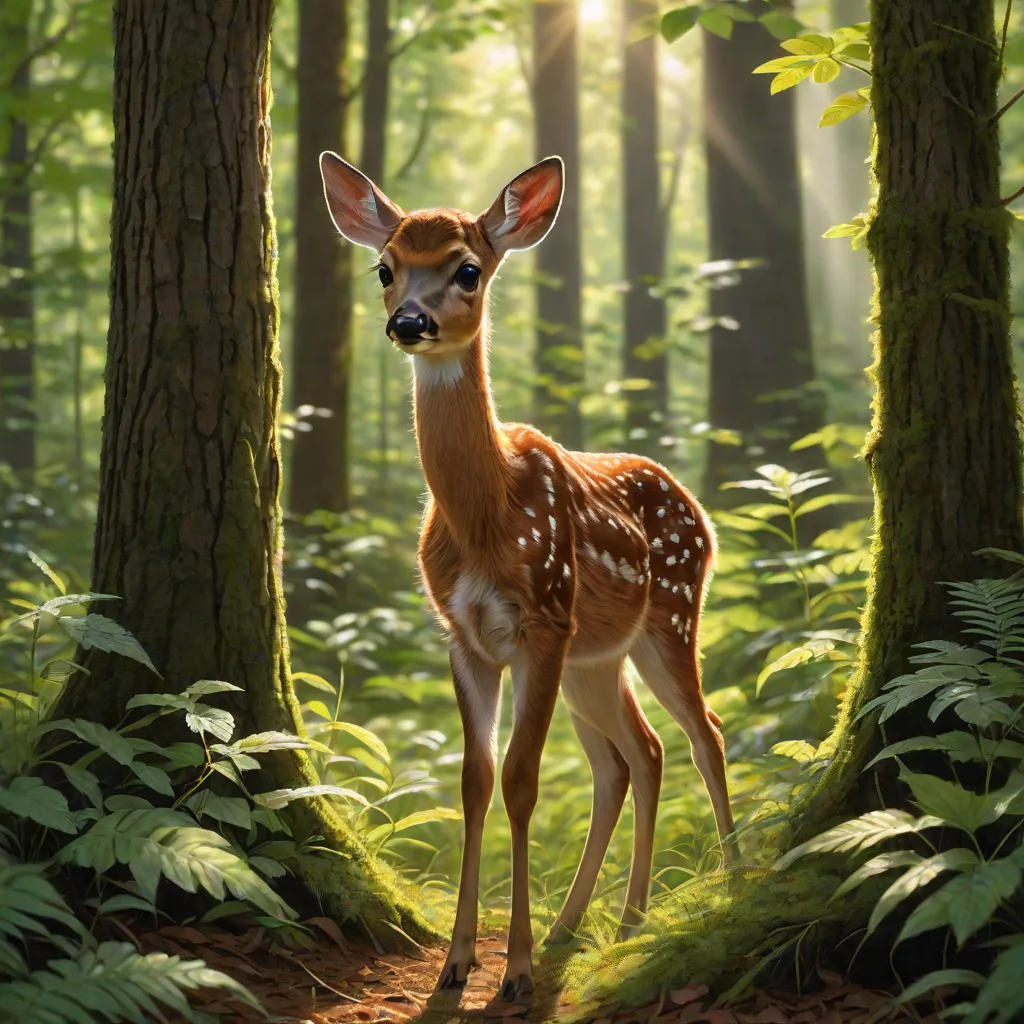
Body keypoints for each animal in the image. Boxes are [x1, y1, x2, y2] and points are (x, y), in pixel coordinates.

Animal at [318, 153, 736, 1003]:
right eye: (385, 267)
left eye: (467, 269)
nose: (409, 323)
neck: (491, 515)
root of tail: (701, 513)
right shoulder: (465, 635)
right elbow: (475, 780)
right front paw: (458, 962)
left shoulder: (542, 619)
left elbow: (521, 780)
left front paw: (510, 969)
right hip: (596, 658)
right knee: (636, 755)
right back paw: (601, 923)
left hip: (667, 619)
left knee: (702, 733)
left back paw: (738, 886)